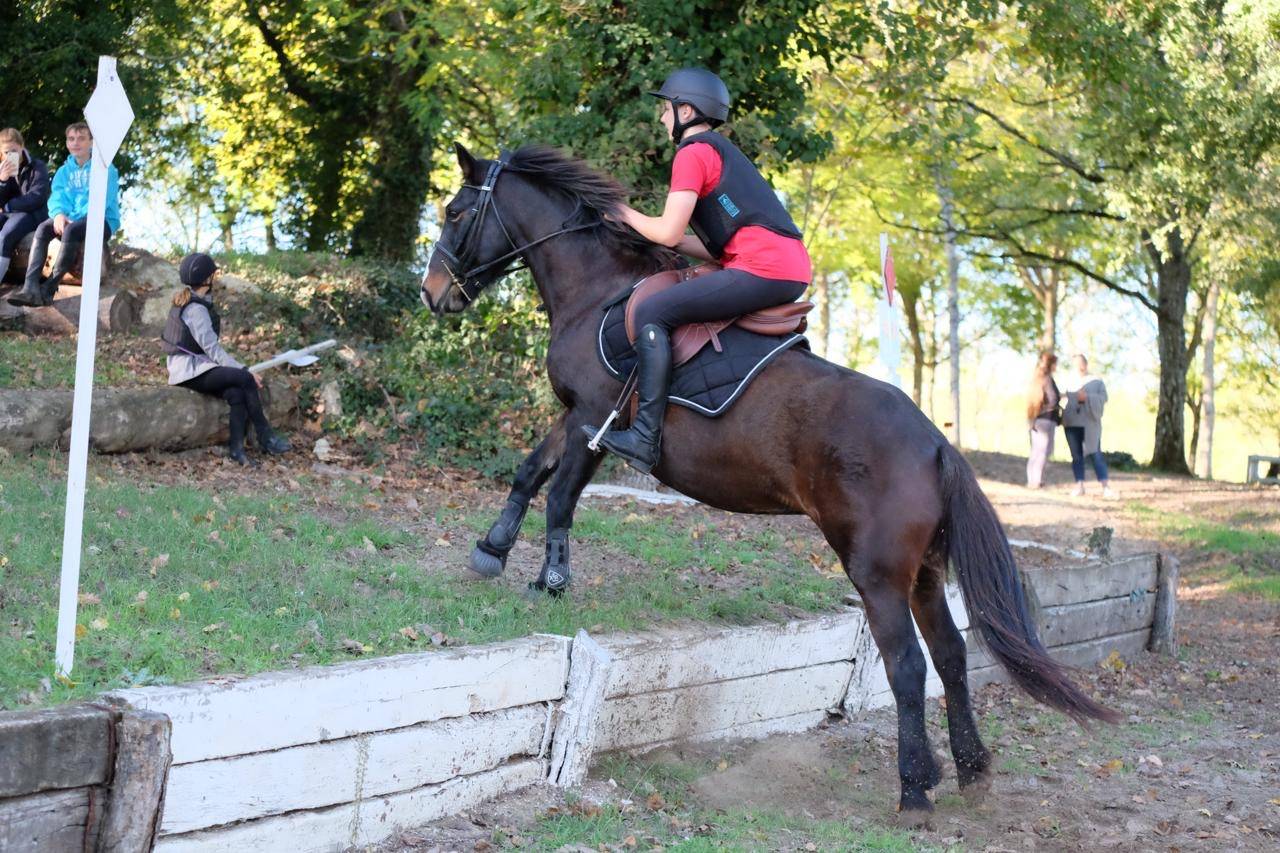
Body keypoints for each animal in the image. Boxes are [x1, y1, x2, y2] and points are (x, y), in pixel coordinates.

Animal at [420, 143, 1116, 822]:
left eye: (455, 212)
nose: (432, 293)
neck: (596, 289)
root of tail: (936, 444)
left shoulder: (596, 414)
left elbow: (563, 492)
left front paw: (551, 580)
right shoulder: (574, 415)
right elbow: (529, 471)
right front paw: (491, 550)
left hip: (877, 572)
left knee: (907, 665)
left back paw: (915, 791)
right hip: (923, 571)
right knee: (950, 654)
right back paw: (972, 770)